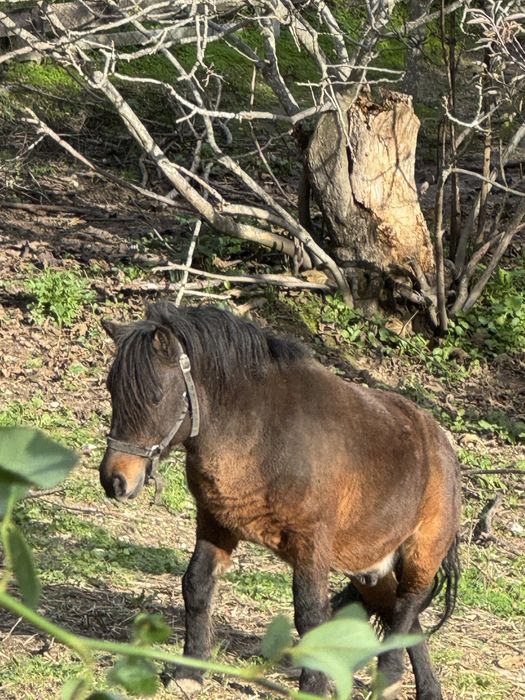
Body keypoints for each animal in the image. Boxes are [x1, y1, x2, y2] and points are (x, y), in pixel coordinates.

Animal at [99, 301, 461, 700]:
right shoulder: (215, 522)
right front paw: (189, 671)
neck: (263, 432)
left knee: (405, 608)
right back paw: (422, 687)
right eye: (112, 390)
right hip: (370, 564)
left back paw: (391, 677)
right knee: (403, 615)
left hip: (421, 553)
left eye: (155, 397)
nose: (114, 479)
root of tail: (444, 447)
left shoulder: (311, 543)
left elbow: (310, 615)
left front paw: (312, 688)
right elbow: (196, 585)